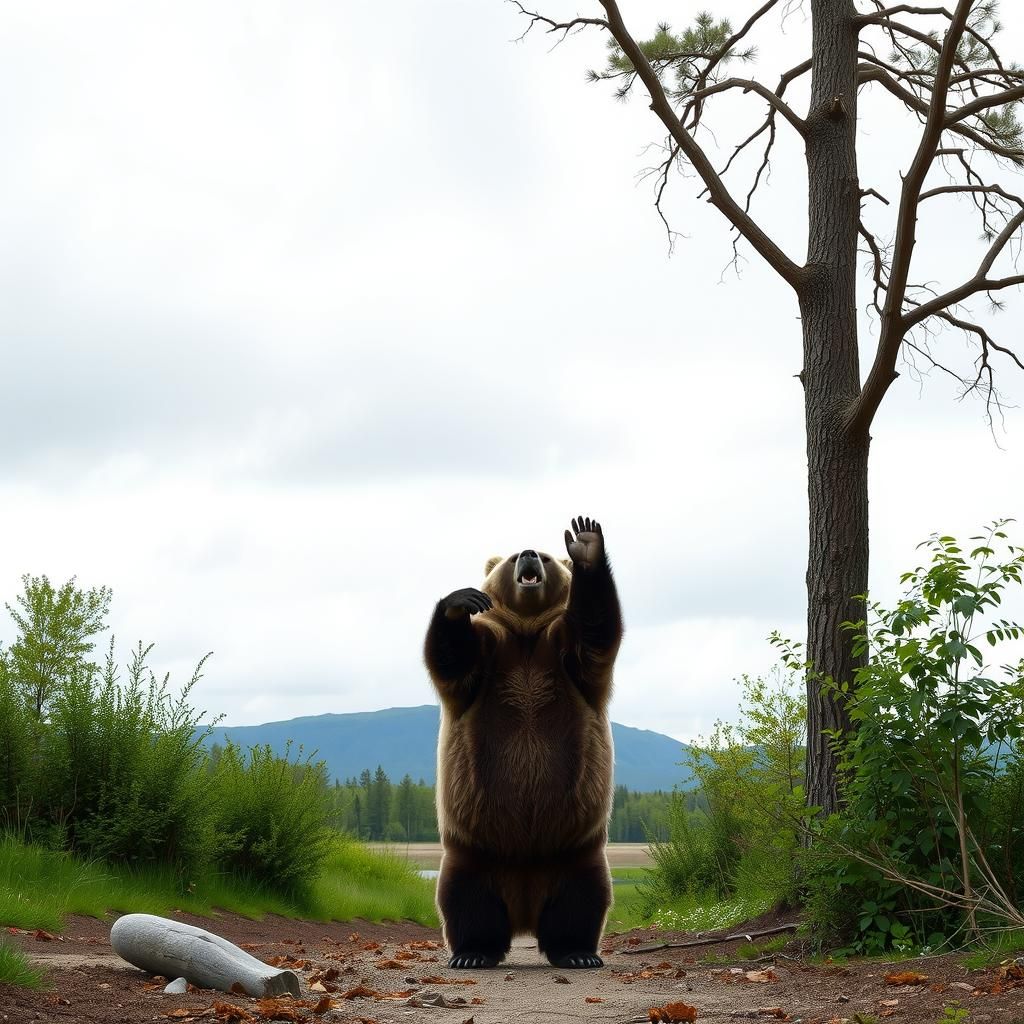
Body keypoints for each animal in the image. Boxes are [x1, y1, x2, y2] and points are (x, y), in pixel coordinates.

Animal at [423, 516, 623, 970]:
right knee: (464, 899)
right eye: (515, 555)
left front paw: (587, 544)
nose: (530, 554)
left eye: (547, 557)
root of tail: (525, 912)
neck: (528, 631)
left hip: (574, 851)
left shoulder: (564, 652)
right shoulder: (492, 652)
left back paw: (577, 952)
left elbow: (596, 630)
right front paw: (459, 601)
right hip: (475, 851)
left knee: (583, 900)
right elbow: (451, 658)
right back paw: (473, 953)